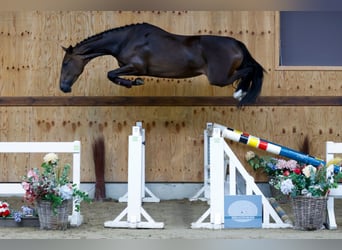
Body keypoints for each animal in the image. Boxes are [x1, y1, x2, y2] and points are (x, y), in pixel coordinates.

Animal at [60, 22, 264, 105]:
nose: (63, 88)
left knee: (250, 70)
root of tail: (236, 43)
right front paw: (134, 82)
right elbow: (112, 73)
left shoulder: (137, 67)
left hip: (218, 78)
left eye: (66, 63)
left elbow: (110, 74)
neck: (125, 40)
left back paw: (240, 93)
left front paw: (133, 83)